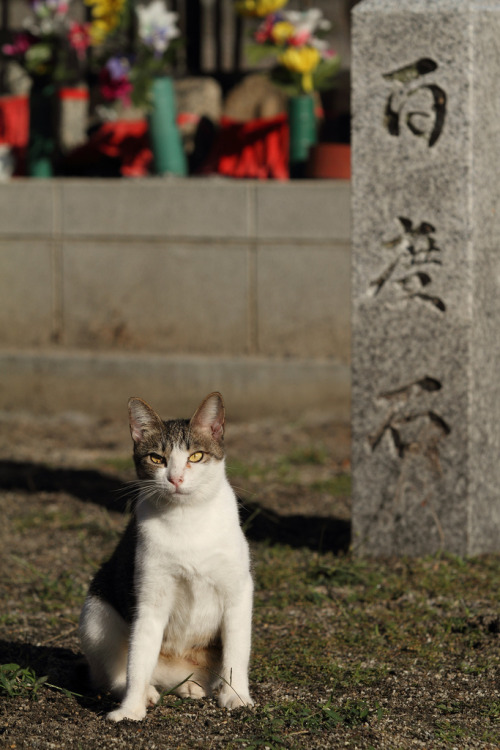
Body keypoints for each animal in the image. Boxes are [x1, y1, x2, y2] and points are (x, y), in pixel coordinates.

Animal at [80, 394, 256, 724]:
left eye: (196, 456)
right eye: (156, 459)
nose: (175, 478)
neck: (187, 519)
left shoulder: (238, 591)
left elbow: (237, 652)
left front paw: (237, 696)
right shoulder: (150, 599)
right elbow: (137, 661)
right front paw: (131, 709)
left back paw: (190, 687)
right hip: (97, 613)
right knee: (116, 671)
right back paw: (147, 692)